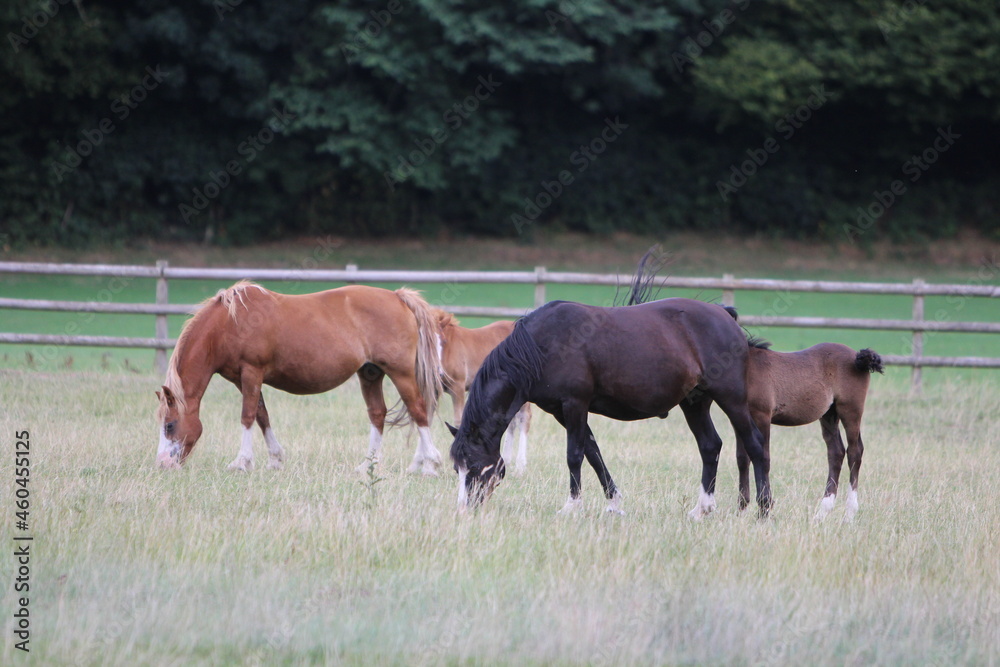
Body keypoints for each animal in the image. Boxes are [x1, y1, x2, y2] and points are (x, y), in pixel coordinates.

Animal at [154, 282, 444, 474]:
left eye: (170, 425)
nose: (163, 464)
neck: (228, 324)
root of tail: (398, 297)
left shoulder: (251, 372)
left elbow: (247, 416)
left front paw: (241, 462)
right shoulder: (242, 378)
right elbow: (261, 415)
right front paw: (275, 459)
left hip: (401, 373)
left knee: (419, 411)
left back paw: (429, 463)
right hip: (370, 374)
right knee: (378, 414)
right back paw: (368, 465)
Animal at [436, 310, 536, 478]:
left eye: (443, 341)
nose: (438, 371)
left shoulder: (458, 387)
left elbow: (458, 420)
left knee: (524, 417)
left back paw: (520, 465)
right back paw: (506, 459)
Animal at [450, 298, 768, 520]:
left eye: (474, 466)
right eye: (457, 468)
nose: (464, 509)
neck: (542, 345)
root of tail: (724, 314)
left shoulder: (575, 405)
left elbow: (575, 455)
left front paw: (572, 506)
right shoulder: (561, 411)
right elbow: (593, 453)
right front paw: (614, 504)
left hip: (732, 399)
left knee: (754, 445)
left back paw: (764, 509)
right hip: (694, 403)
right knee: (710, 446)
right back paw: (702, 508)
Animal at [740, 344, 880, 520]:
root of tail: (857, 357)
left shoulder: (762, 416)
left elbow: (761, 456)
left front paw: (762, 512)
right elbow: (743, 458)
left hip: (850, 409)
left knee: (855, 452)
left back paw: (849, 513)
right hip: (829, 414)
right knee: (836, 452)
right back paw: (823, 511)